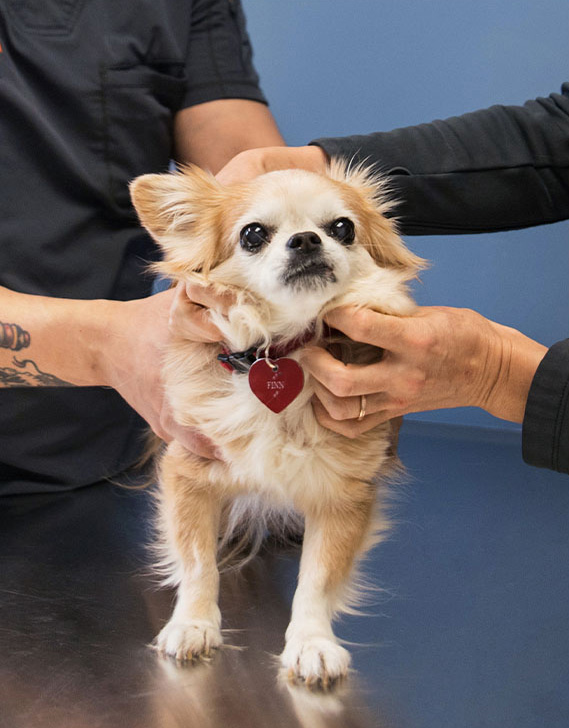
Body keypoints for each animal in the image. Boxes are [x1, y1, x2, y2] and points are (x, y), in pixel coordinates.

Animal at [129, 159, 422, 688]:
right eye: (253, 235)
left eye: (343, 228)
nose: (306, 240)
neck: (281, 350)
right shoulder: (189, 472)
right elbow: (198, 561)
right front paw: (193, 624)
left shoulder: (343, 495)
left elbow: (318, 580)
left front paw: (312, 644)